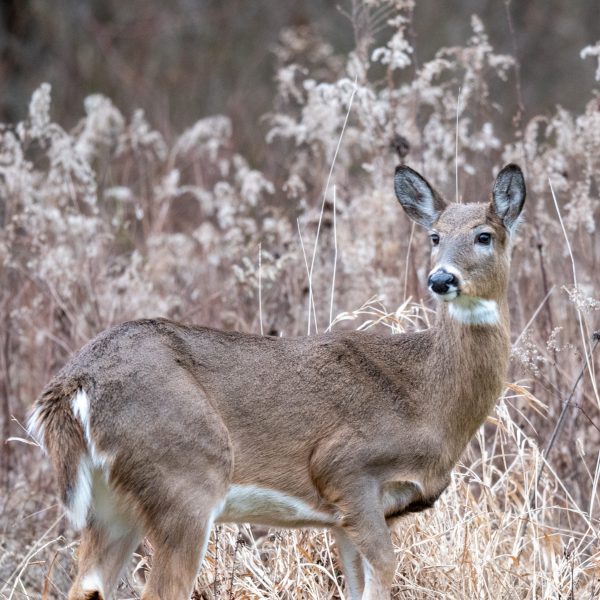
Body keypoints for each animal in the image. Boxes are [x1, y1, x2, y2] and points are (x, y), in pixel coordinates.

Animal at [28, 163, 525, 600]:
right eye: (435, 237)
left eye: (484, 235)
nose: (441, 278)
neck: (427, 400)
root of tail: (74, 384)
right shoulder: (345, 468)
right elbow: (385, 572)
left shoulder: (349, 517)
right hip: (185, 476)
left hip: (113, 504)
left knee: (85, 586)